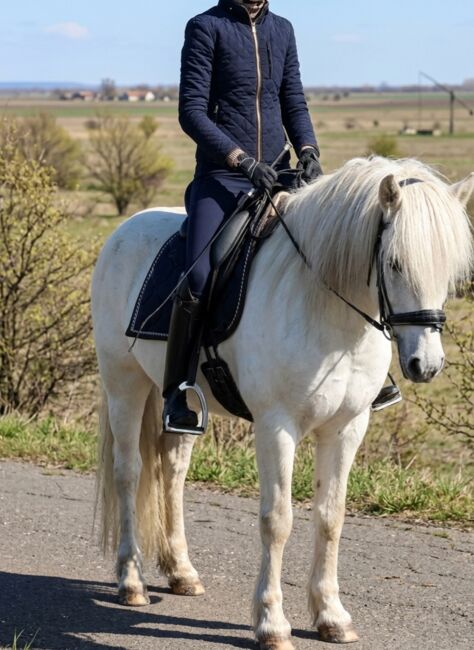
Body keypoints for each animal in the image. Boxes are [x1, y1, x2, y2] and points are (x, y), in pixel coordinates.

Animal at [92, 156, 473, 649]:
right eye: (394, 262)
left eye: (449, 270)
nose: (425, 364)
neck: (328, 309)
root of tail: (125, 229)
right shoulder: (277, 427)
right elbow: (278, 520)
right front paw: (272, 623)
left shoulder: (347, 428)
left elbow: (331, 517)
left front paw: (331, 616)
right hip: (124, 384)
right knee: (129, 473)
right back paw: (132, 581)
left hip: (179, 401)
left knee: (172, 471)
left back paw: (182, 573)